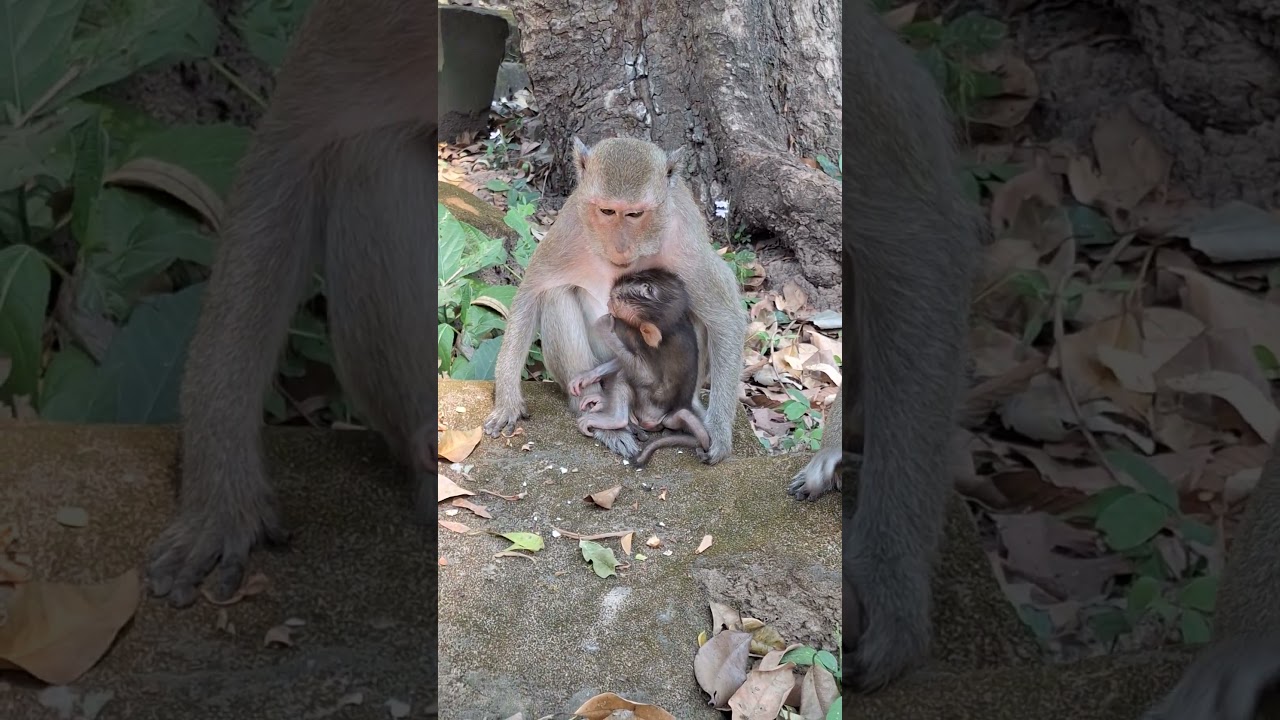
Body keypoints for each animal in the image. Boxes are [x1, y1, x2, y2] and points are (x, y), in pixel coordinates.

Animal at [566, 268, 712, 468]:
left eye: (616, 299)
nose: (608, 303)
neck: (672, 326)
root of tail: (662, 419)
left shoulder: (641, 337)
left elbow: (644, 373)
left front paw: (604, 327)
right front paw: (589, 375)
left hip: (648, 408)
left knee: (626, 376)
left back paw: (616, 419)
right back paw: (605, 403)